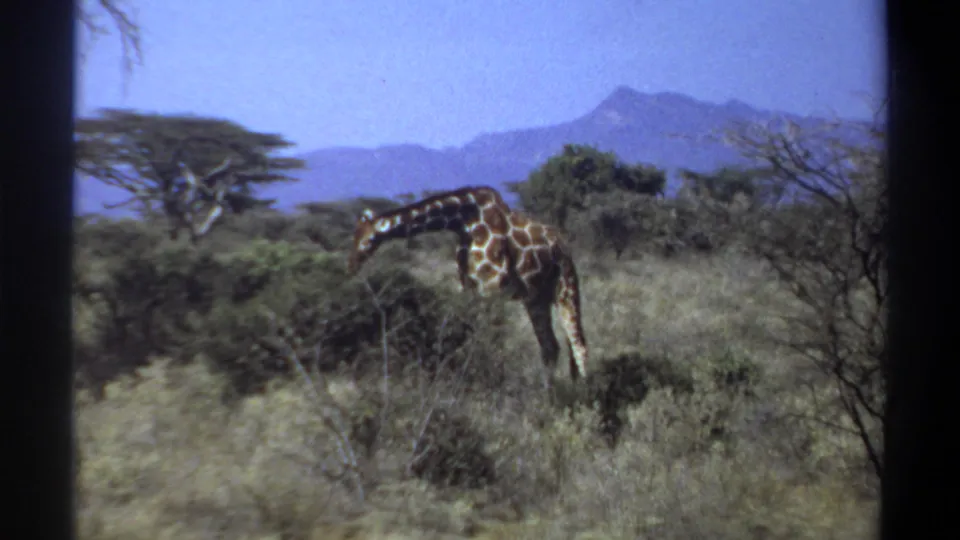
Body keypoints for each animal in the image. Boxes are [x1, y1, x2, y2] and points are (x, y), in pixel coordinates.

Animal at [347, 186, 589, 389]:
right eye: (353, 236)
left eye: (367, 240)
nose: (351, 266)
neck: (464, 222)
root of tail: (562, 247)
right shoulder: (468, 287)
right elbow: (471, 334)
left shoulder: (493, 286)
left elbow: (493, 339)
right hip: (536, 299)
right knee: (550, 346)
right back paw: (548, 394)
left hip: (565, 288)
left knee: (579, 345)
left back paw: (584, 394)